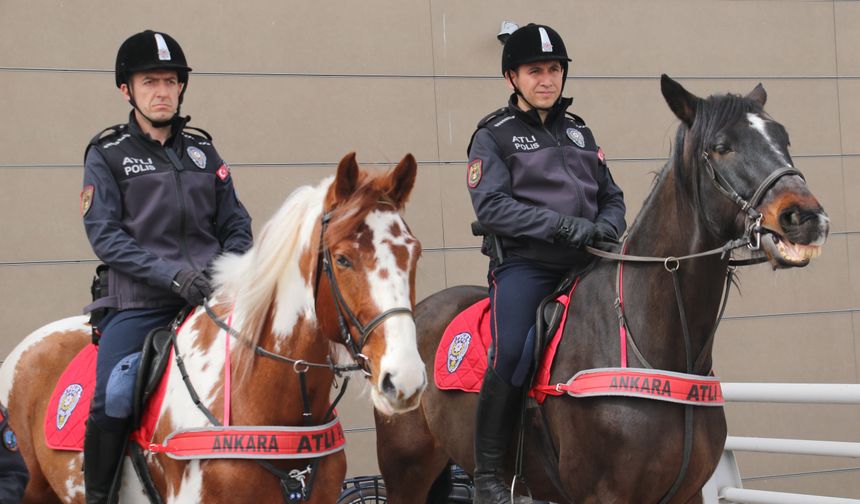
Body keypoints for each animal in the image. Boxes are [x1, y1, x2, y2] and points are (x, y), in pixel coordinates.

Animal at [372, 76, 828, 504]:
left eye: (783, 138)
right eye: (720, 146)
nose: (804, 217)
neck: (653, 344)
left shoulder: (688, 494)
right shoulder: (605, 494)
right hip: (406, 471)